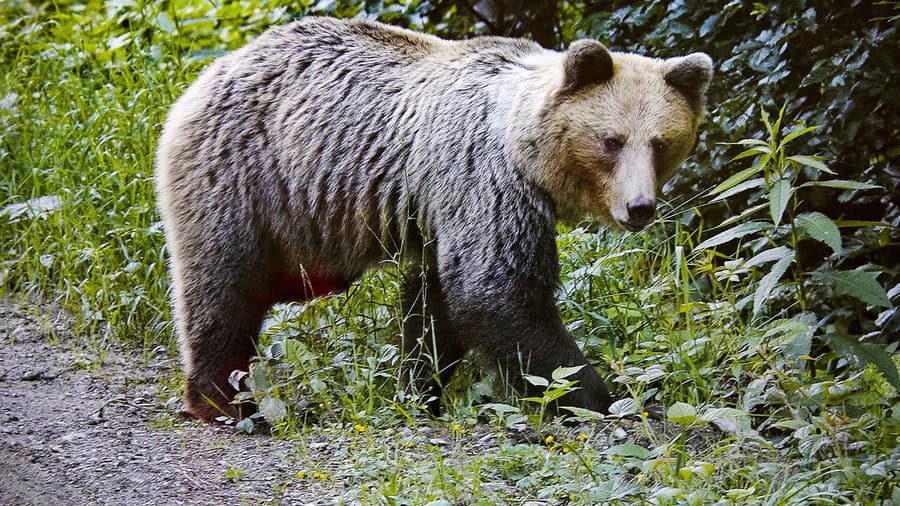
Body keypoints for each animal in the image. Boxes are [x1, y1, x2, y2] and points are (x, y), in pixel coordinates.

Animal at [158, 15, 712, 422]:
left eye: (662, 143)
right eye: (611, 141)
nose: (639, 207)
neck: (525, 152)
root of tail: (211, 72)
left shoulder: (441, 211)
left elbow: (437, 305)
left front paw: (418, 389)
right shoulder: (484, 179)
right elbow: (497, 291)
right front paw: (603, 397)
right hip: (242, 175)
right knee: (223, 287)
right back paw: (226, 402)